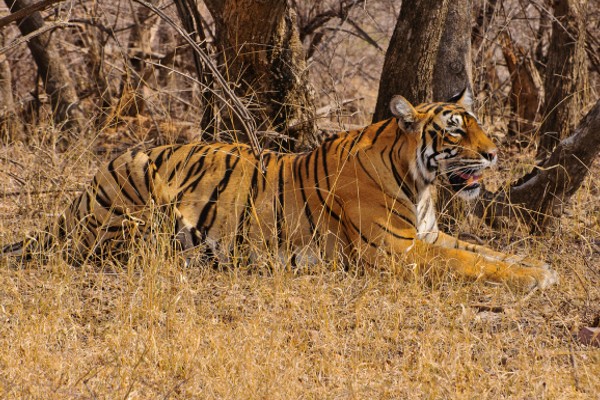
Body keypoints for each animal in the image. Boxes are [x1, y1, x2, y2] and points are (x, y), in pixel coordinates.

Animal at [3, 87, 556, 290]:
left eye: (477, 125)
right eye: (456, 130)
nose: (494, 154)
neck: (419, 183)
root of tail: (78, 198)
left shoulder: (428, 235)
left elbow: (484, 251)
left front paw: (539, 266)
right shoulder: (398, 252)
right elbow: (473, 263)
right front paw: (538, 277)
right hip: (137, 182)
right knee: (121, 250)